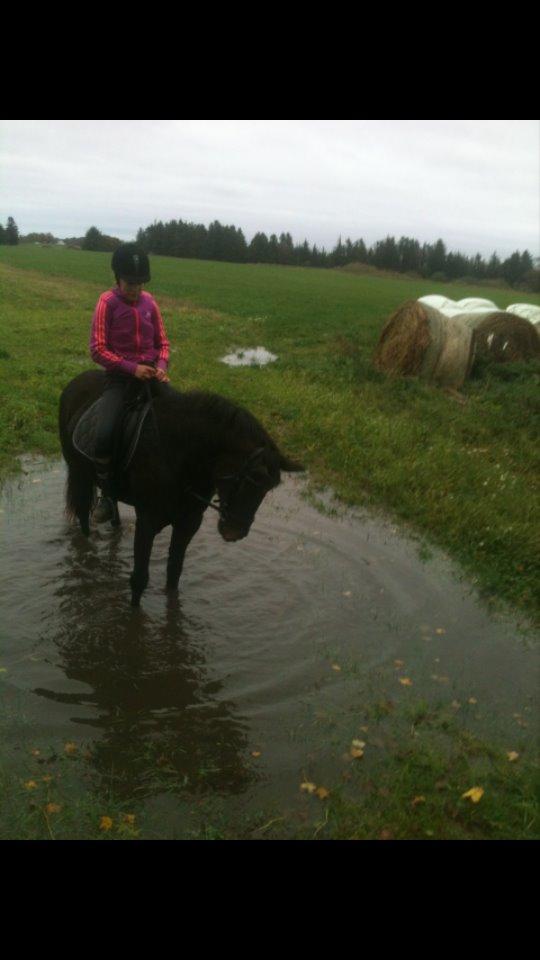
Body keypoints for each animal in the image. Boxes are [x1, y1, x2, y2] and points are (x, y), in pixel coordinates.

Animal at [60, 372, 304, 604]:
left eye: (266, 490)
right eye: (245, 480)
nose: (234, 532)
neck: (180, 454)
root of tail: (74, 383)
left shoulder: (189, 523)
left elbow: (174, 575)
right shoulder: (147, 521)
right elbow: (139, 579)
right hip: (79, 474)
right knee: (83, 514)